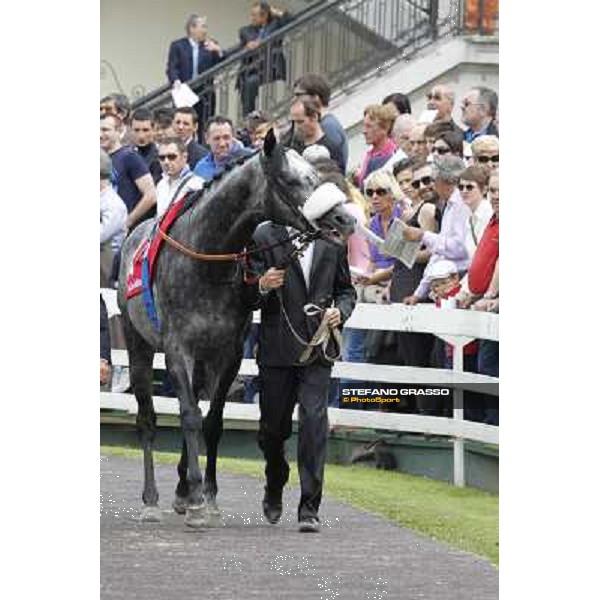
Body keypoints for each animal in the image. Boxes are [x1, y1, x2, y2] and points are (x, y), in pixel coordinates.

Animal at [116, 130, 356, 524]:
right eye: (291, 180)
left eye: (316, 176)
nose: (344, 219)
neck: (207, 261)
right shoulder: (177, 350)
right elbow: (188, 417)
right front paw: (197, 500)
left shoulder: (226, 353)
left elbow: (212, 422)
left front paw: (206, 494)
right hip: (138, 345)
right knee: (147, 418)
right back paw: (152, 500)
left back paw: (181, 489)